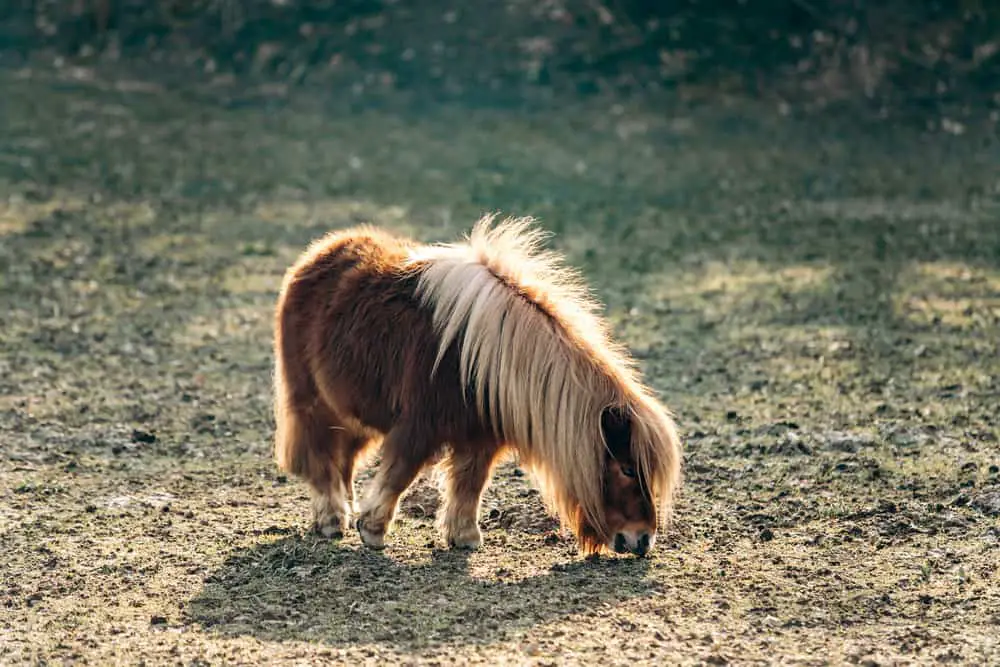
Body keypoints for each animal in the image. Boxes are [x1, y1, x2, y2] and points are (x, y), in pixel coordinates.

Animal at [270, 217, 684, 556]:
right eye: (627, 469)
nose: (643, 540)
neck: (488, 361)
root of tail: (319, 253)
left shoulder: (481, 438)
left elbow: (470, 484)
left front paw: (464, 537)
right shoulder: (419, 428)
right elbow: (400, 474)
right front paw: (372, 530)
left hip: (354, 414)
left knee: (344, 460)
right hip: (312, 403)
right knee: (321, 458)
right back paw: (332, 519)